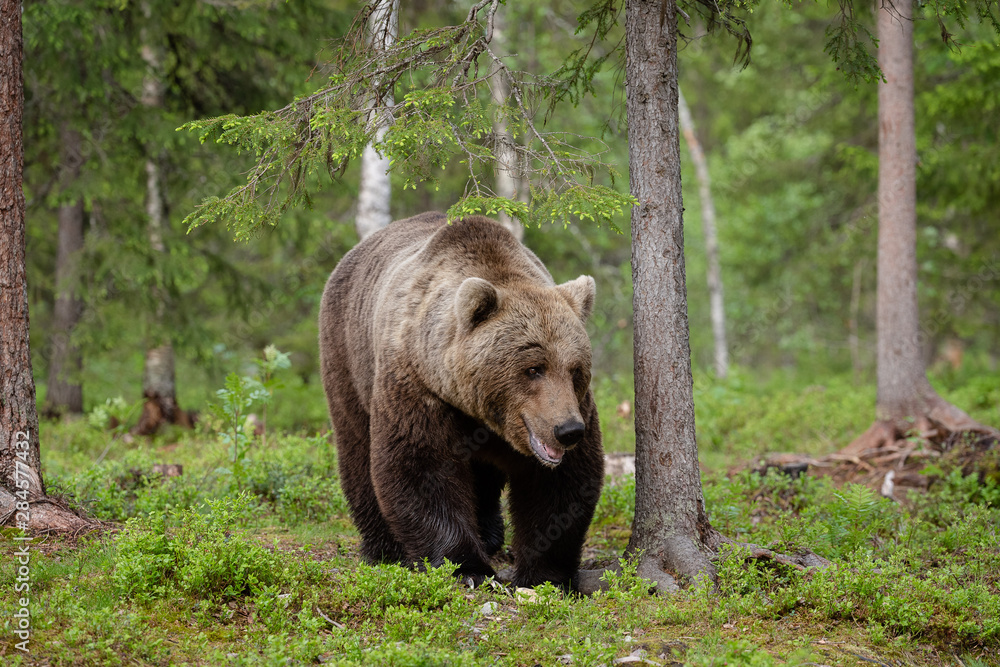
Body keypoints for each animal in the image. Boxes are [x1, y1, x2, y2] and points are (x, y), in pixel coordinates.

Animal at [320, 211, 600, 588]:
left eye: (575, 369)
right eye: (533, 368)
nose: (567, 431)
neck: (478, 409)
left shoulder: (575, 406)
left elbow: (561, 484)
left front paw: (545, 575)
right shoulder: (418, 386)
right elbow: (421, 468)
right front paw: (467, 567)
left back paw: (490, 533)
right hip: (348, 355)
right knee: (357, 447)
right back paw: (383, 547)